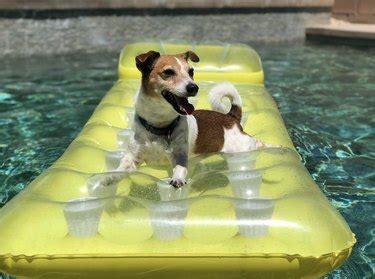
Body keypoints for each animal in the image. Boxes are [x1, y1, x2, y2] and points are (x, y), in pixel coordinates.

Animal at [113, 50, 274, 188]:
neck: (160, 125)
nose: (193, 87)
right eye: (168, 72)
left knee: (257, 142)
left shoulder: (180, 156)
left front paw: (178, 179)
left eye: (191, 72)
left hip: (242, 147)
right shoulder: (133, 156)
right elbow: (123, 166)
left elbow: (180, 168)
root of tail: (231, 117)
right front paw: (112, 176)